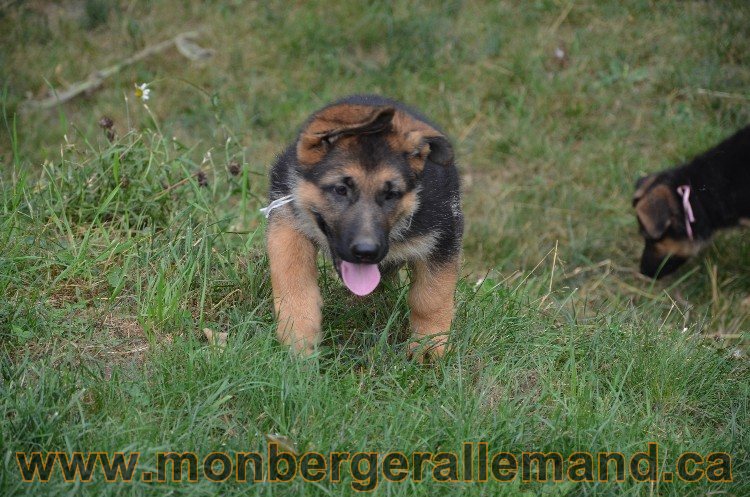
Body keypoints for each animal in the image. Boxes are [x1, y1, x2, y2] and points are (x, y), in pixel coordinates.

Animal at [264, 95, 464, 358]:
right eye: (341, 189)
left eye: (391, 194)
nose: (367, 252)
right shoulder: (287, 217)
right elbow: (292, 278)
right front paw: (299, 337)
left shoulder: (442, 236)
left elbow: (432, 296)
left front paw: (429, 347)